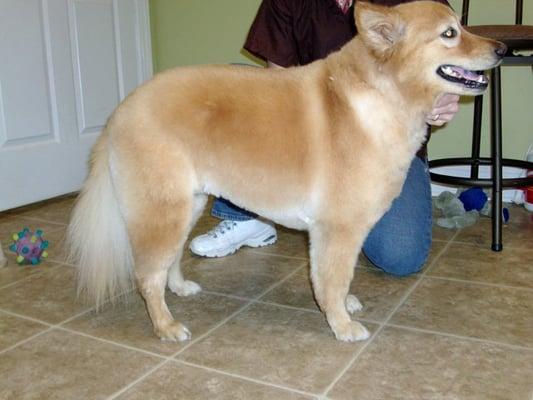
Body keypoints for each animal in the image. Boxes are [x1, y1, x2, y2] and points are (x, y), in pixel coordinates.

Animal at [66, 1, 502, 342]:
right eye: (449, 34)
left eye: (461, 25)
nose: (501, 48)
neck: (382, 98)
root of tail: (122, 110)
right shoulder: (337, 229)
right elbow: (332, 280)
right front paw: (341, 324)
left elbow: (340, 278)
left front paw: (344, 308)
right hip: (163, 210)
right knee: (147, 276)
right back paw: (166, 326)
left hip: (187, 204)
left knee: (166, 263)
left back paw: (181, 288)